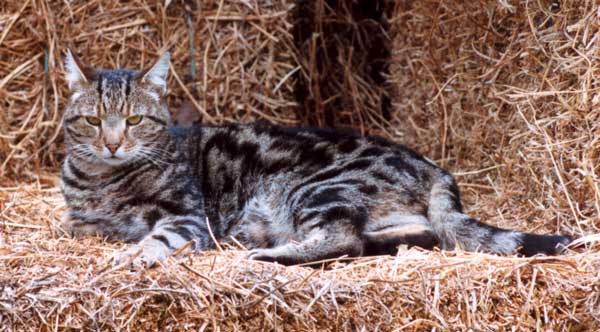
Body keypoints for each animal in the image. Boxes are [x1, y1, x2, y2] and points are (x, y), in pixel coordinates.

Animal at [57, 50, 572, 268]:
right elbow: (80, 228)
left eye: (135, 120)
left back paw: (269, 253)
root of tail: (434, 168)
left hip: (312, 187)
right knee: (408, 235)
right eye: (93, 120)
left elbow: (155, 239)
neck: (102, 178)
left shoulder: (187, 217)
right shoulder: (79, 223)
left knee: (343, 239)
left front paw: (134, 256)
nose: (113, 143)